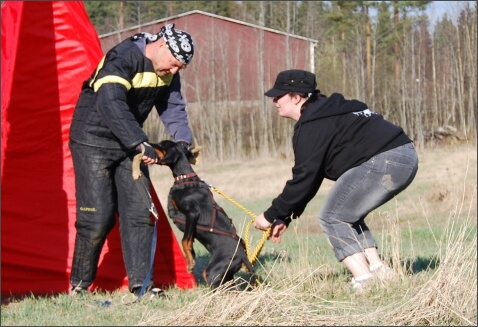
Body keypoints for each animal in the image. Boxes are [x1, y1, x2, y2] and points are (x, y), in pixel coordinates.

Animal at [153, 140, 258, 290]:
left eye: (162, 144)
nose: (149, 143)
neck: (185, 179)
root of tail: (243, 256)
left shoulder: (192, 214)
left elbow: (184, 240)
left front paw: (190, 262)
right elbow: (189, 240)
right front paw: (191, 255)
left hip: (212, 272)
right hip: (225, 275)